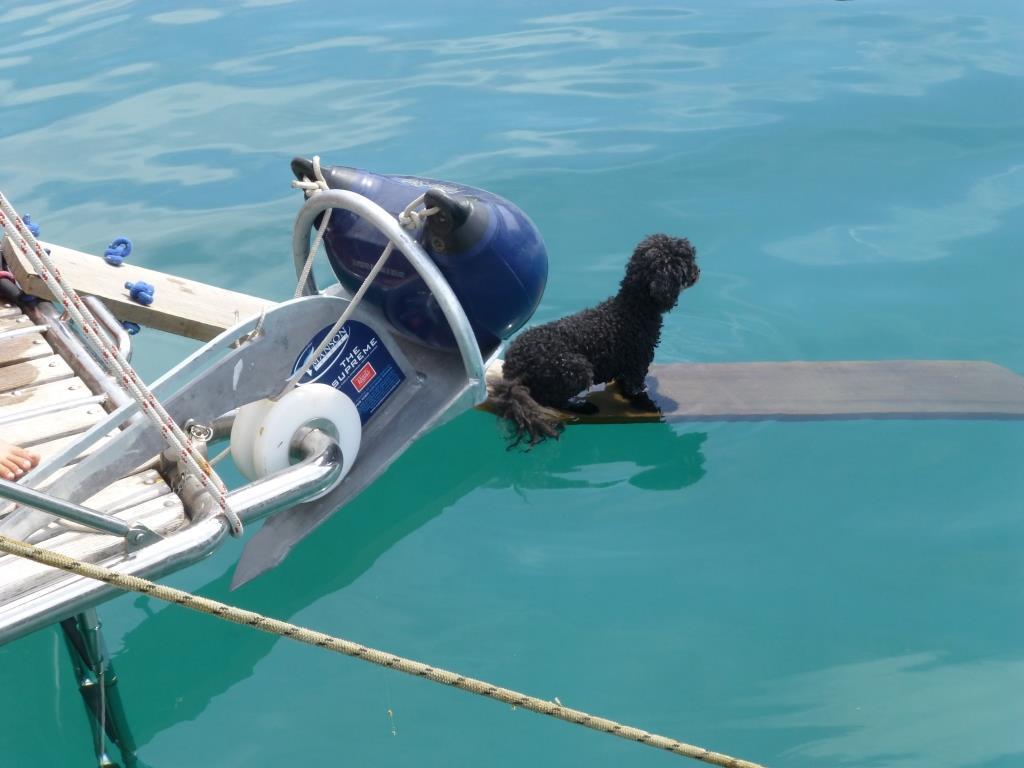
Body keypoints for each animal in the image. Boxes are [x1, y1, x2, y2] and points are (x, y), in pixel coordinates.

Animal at [491, 237, 700, 448]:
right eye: (686, 261)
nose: (698, 271)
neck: (634, 308)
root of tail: (513, 367)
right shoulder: (637, 364)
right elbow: (636, 391)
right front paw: (648, 404)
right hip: (575, 368)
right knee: (549, 400)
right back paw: (583, 406)